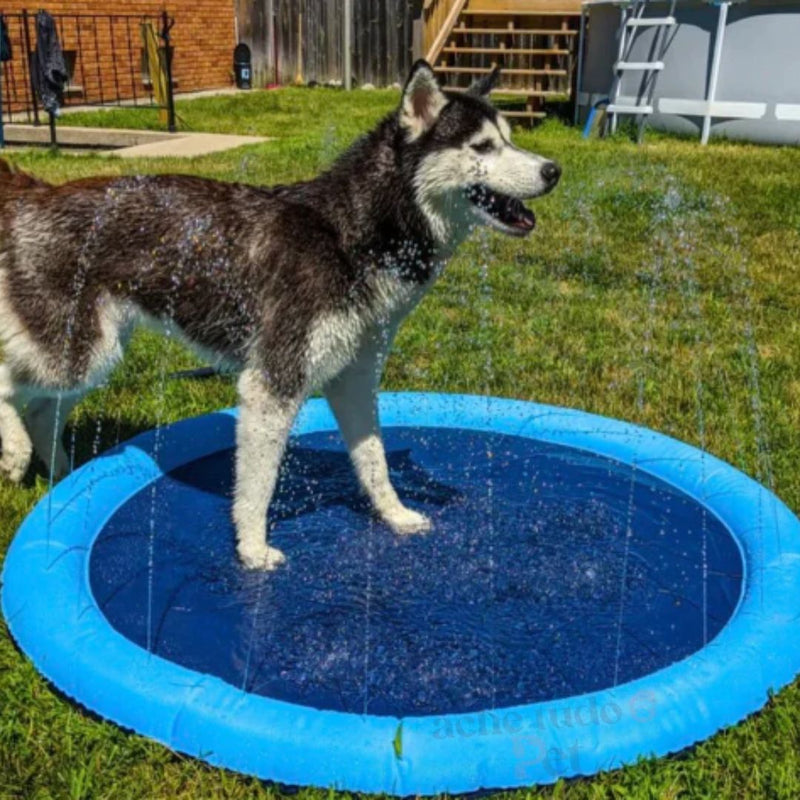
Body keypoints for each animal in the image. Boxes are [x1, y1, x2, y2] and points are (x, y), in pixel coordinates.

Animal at [0, 61, 560, 568]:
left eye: (511, 140)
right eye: (482, 147)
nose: (553, 170)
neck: (352, 237)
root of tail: (37, 191)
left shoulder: (354, 380)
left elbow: (374, 462)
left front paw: (395, 516)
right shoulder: (274, 383)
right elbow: (258, 487)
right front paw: (252, 551)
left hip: (94, 354)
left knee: (42, 409)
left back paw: (62, 475)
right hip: (77, 350)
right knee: (11, 384)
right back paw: (17, 453)